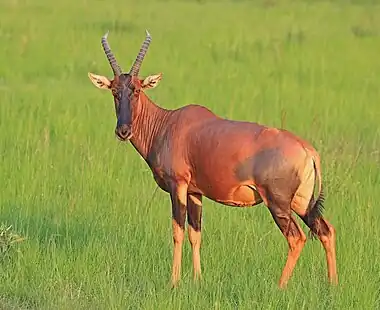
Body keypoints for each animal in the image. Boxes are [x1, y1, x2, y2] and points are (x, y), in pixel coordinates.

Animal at [88, 29, 338, 288]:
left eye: (136, 90)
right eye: (115, 91)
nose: (123, 131)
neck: (168, 123)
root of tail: (307, 149)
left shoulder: (178, 186)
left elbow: (177, 231)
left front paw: (174, 282)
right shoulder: (194, 192)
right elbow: (195, 233)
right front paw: (197, 279)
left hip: (278, 203)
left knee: (297, 238)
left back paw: (280, 287)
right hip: (302, 202)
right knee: (326, 230)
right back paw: (333, 285)